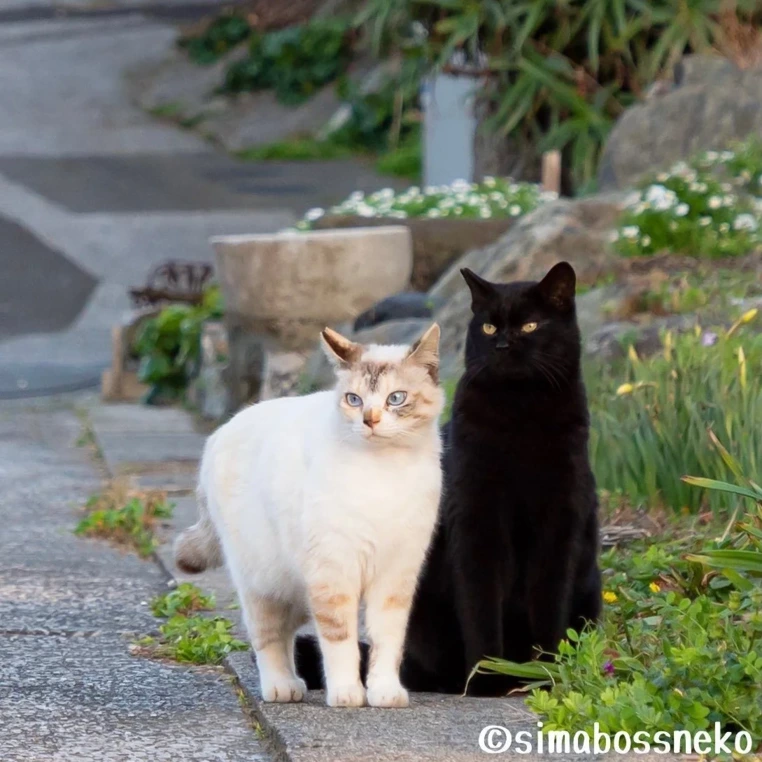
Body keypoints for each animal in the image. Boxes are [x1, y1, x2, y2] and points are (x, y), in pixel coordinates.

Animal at [174, 322, 442, 708]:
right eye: (354, 400)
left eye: (396, 398)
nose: (370, 419)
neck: (385, 470)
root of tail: (219, 434)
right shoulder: (333, 574)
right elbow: (340, 640)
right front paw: (346, 693)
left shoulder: (395, 577)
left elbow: (386, 641)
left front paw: (384, 692)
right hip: (264, 581)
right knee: (269, 637)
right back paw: (281, 686)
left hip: (296, 588)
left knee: (289, 633)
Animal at [296, 262, 600, 696]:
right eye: (488, 327)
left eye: (530, 325)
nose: (502, 345)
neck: (520, 414)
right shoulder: (475, 521)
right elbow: (480, 604)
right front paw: (488, 678)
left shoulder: (560, 525)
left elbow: (548, 604)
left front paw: (542, 674)